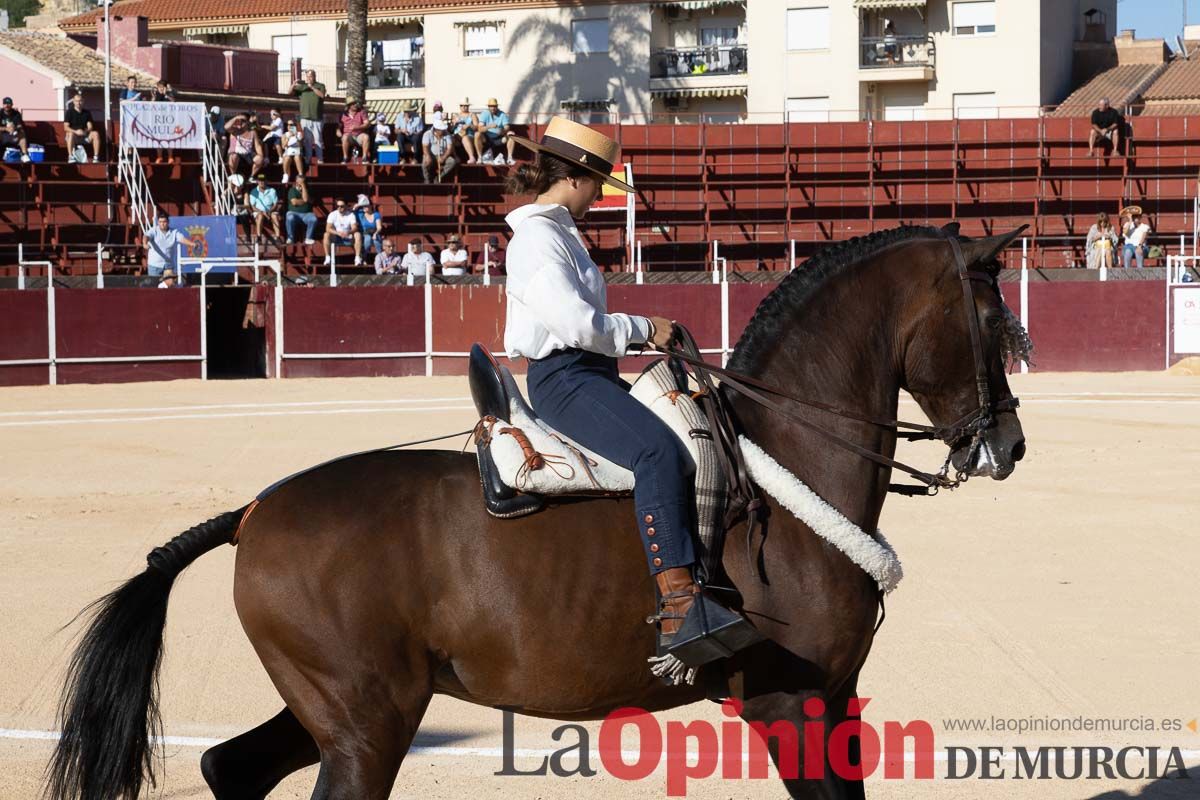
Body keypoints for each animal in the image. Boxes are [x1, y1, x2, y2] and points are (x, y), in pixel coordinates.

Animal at [44, 225, 1022, 800]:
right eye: (989, 315)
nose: (1007, 445)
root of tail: (254, 511)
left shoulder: (836, 699)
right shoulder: (796, 703)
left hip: (334, 708)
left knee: (228, 765)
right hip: (366, 727)